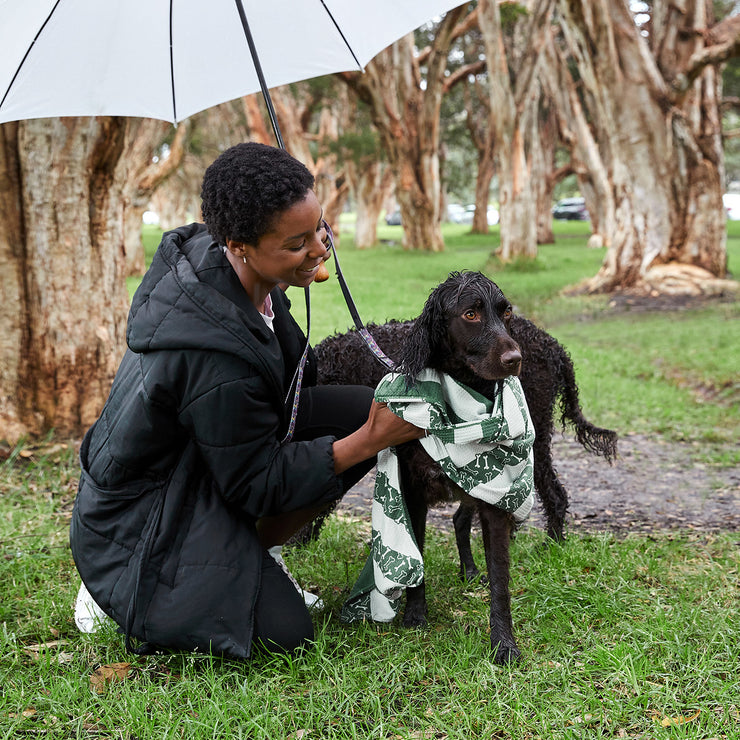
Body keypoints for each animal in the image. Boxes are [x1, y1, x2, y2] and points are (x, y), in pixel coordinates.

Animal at [310, 274, 616, 664]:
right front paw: (417, 615)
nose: (514, 359)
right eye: (470, 313)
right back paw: (473, 568)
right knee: (465, 518)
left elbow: (500, 579)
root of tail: (554, 346)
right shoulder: (417, 486)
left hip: (533, 442)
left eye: (506, 311)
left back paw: (552, 547)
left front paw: (503, 641)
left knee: (555, 496)